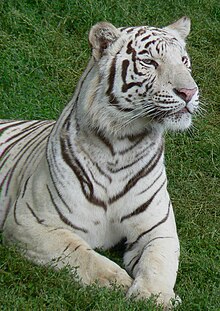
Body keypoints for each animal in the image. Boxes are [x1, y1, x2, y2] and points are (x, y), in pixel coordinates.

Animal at [0, 17, 199, 310]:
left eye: (184, 61)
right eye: (149, 62)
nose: (189, 92)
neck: (122, 146)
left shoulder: (158, 229)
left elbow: (158, 264)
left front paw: (154, 297)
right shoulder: (29, 222)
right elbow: (82, 255)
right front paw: (120, 284)